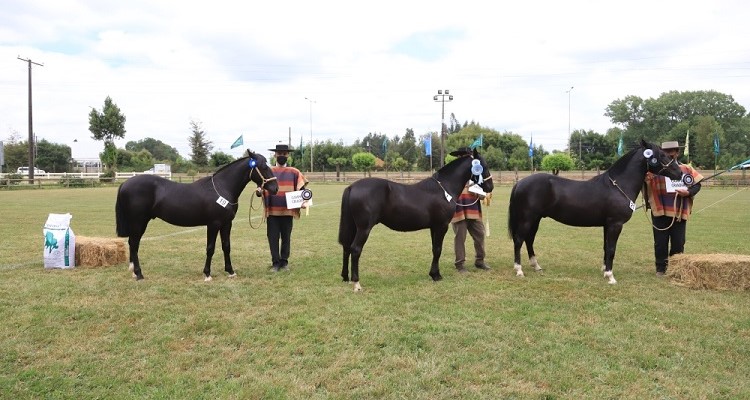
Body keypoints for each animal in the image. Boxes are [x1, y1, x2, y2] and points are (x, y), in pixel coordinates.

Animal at [116, 152, 280, 280]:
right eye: (263, 166)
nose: (275, 188)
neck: (222, 188)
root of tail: (125, 184)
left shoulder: (227, 224)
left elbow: (226, 246)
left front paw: (230, 271)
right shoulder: (213, 224)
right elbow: (210, 248)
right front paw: (207, 274)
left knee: (133, 243)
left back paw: (134, 271)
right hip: (138, 221)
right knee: (134, 244)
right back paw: (139, 274)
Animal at [340, 148, 494, 290]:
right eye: (484, 165)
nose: (490, 187)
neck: (444, 189)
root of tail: (352, 186)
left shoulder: (433, 227)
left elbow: (434, 249)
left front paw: (433, 274)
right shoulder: (441, 226)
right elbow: (438, 249)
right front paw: (436, 275)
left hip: (354, 227)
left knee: (346, 247)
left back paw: (346, 277)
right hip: (364, 228)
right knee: (355, 249)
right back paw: (356, 283)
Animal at [508, 141, 684, 284]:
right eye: (662, 155)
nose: (680, 173)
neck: (617, 186)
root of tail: (520, 183)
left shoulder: (607, 225)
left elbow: (606, 248)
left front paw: (605, 272)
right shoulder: (615, 224)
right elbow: (612, 249)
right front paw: (611, 277)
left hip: (535, 219)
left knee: (529, 240)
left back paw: (536, 266)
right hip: (527, 219)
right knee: (519, 240)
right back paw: (519, 270)